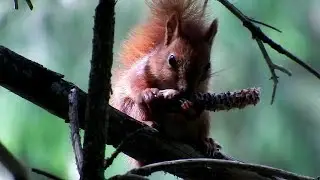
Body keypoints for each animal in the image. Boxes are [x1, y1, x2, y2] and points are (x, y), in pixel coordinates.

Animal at [110, 0, 220, 166]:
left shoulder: (201, 90)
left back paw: (206, 142)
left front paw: (188, 106)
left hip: (204, 120)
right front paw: (147, 93)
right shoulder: (142, 69)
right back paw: (148, 122)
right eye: (171, 59)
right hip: (130, 106)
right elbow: (135, 82)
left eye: (208, 66)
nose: (187, 91)